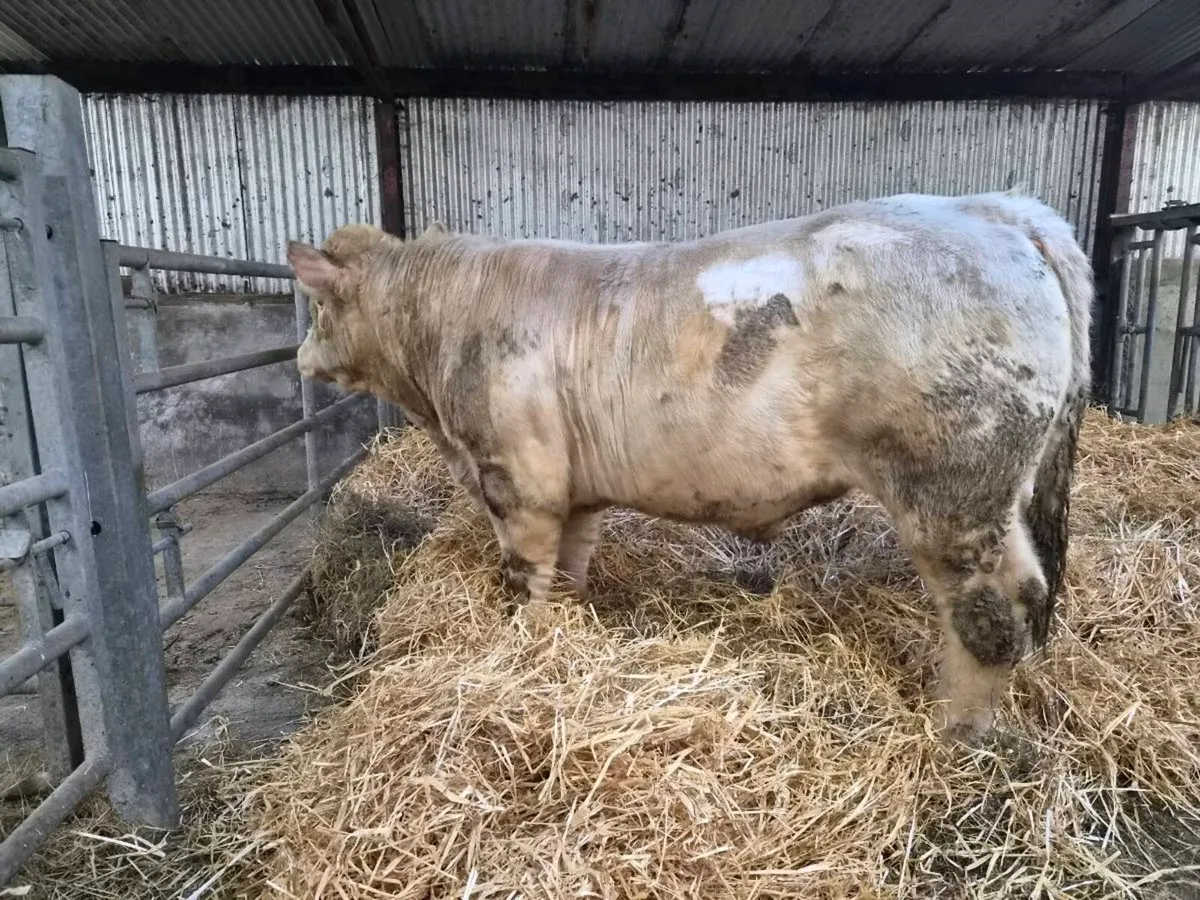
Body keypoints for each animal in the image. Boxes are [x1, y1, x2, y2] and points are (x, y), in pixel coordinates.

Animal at [286, 189, 1090, 744]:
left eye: (317, 306)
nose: (299, 356)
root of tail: (998, 209)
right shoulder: (575, 491)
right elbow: (570, 570)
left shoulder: (519, 476)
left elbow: (527, 577)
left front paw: (522, 651)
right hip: (999, 491)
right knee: (1028, 589)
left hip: (953, 486)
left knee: (991, 606)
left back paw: (953, 731)